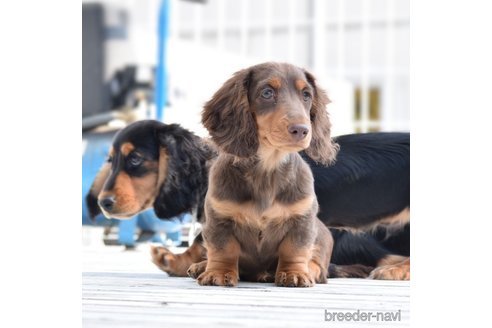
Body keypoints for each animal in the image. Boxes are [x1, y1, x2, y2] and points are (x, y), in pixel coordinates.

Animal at [196, 62, 338, 288]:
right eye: (267, 93)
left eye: (306, 95)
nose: (301, 130)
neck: (267, 169)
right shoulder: (219, 218)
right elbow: (223, 249)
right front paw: (218, 273)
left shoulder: (302, 219)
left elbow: (294, 249)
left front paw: (295, 273)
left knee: (316, 263)